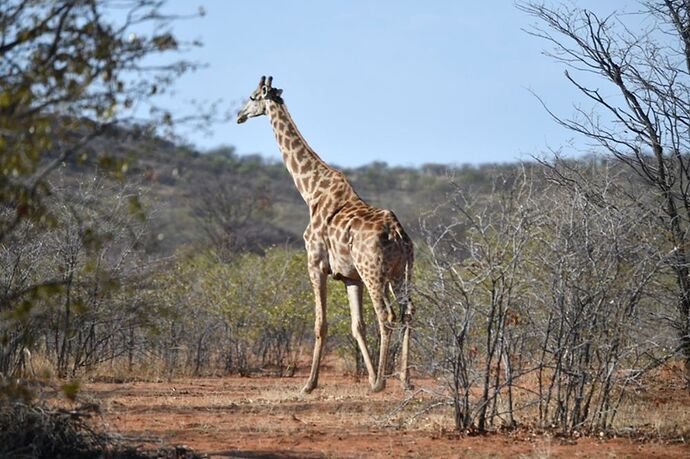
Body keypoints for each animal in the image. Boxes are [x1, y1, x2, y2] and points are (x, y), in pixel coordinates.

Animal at [235, 77, 414, 394]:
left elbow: (321, 324)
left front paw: (309, 384)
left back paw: (382, 383)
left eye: (253, 96)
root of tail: (397, 233)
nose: (239, 115)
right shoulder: (350, 277)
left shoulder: (315, 264)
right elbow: (357, 326)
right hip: (400, 272)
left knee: (387, 315)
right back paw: (404, 382)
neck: (310, 191)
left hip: (374, 272)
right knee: (407, 313)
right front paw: (369, 376)